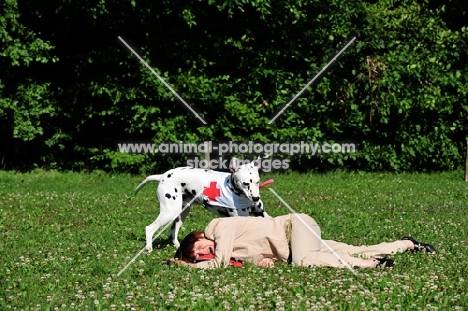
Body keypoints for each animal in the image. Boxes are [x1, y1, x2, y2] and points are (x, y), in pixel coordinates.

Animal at [133, 157, 268, 252]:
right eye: (245, 183)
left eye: (257, 182)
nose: (255, 198)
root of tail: (162, 176)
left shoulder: (261, 214)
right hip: (169, 213)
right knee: (150, 228)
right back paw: (149, 247)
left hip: (181, 214)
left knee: (172, 233)